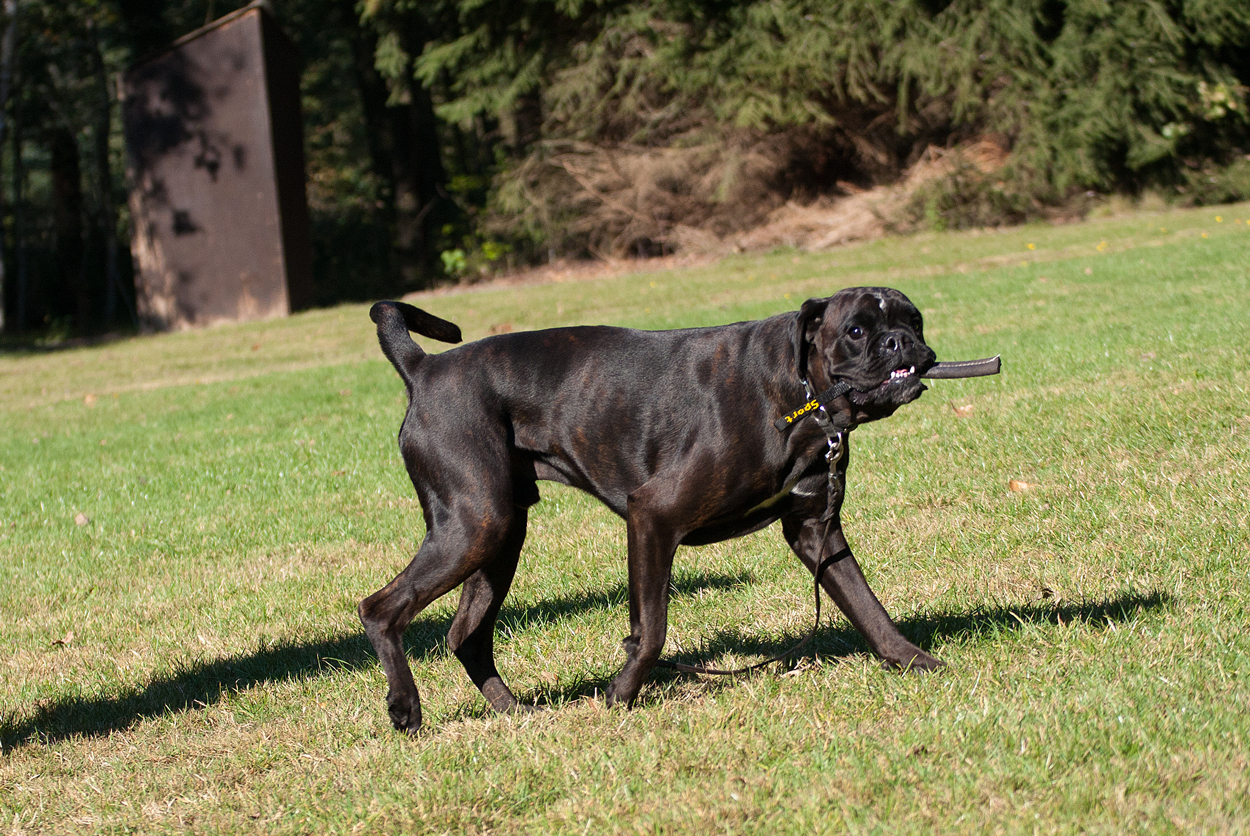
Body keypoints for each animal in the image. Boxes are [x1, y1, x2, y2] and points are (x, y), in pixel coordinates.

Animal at [357, 287, 940, 729]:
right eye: (857, 331)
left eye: (915, 319)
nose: (902, 342)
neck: (801, 394)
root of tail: (424, 368)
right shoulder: (653, 517)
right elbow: (651, 630)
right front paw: (621, 696)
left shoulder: (817, 533)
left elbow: (867, 606)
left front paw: (915, 661)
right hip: (476, 525)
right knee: (381, 609)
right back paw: (406, 709)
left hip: (497, 536)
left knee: (467, 637)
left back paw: (516, 713)